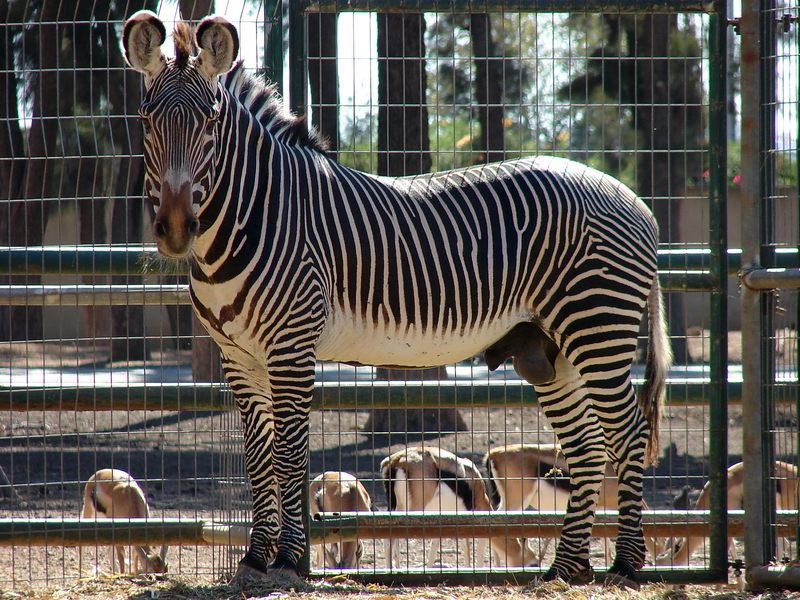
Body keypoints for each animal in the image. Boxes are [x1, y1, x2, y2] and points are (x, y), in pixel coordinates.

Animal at [122, 11, 671, 588]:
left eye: (211, 121)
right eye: (145, 117)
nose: (176, 228)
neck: (255, 214)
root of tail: (634, 200)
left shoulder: (290, 347)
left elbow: (290, 455)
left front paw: (290, 560)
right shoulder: (239, 356)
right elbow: (259, 457)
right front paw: (255, 557)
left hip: (598, 328)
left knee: (628, 434)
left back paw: (626, 564)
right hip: (547, 349)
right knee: (586, 447)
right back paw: (566, 569)